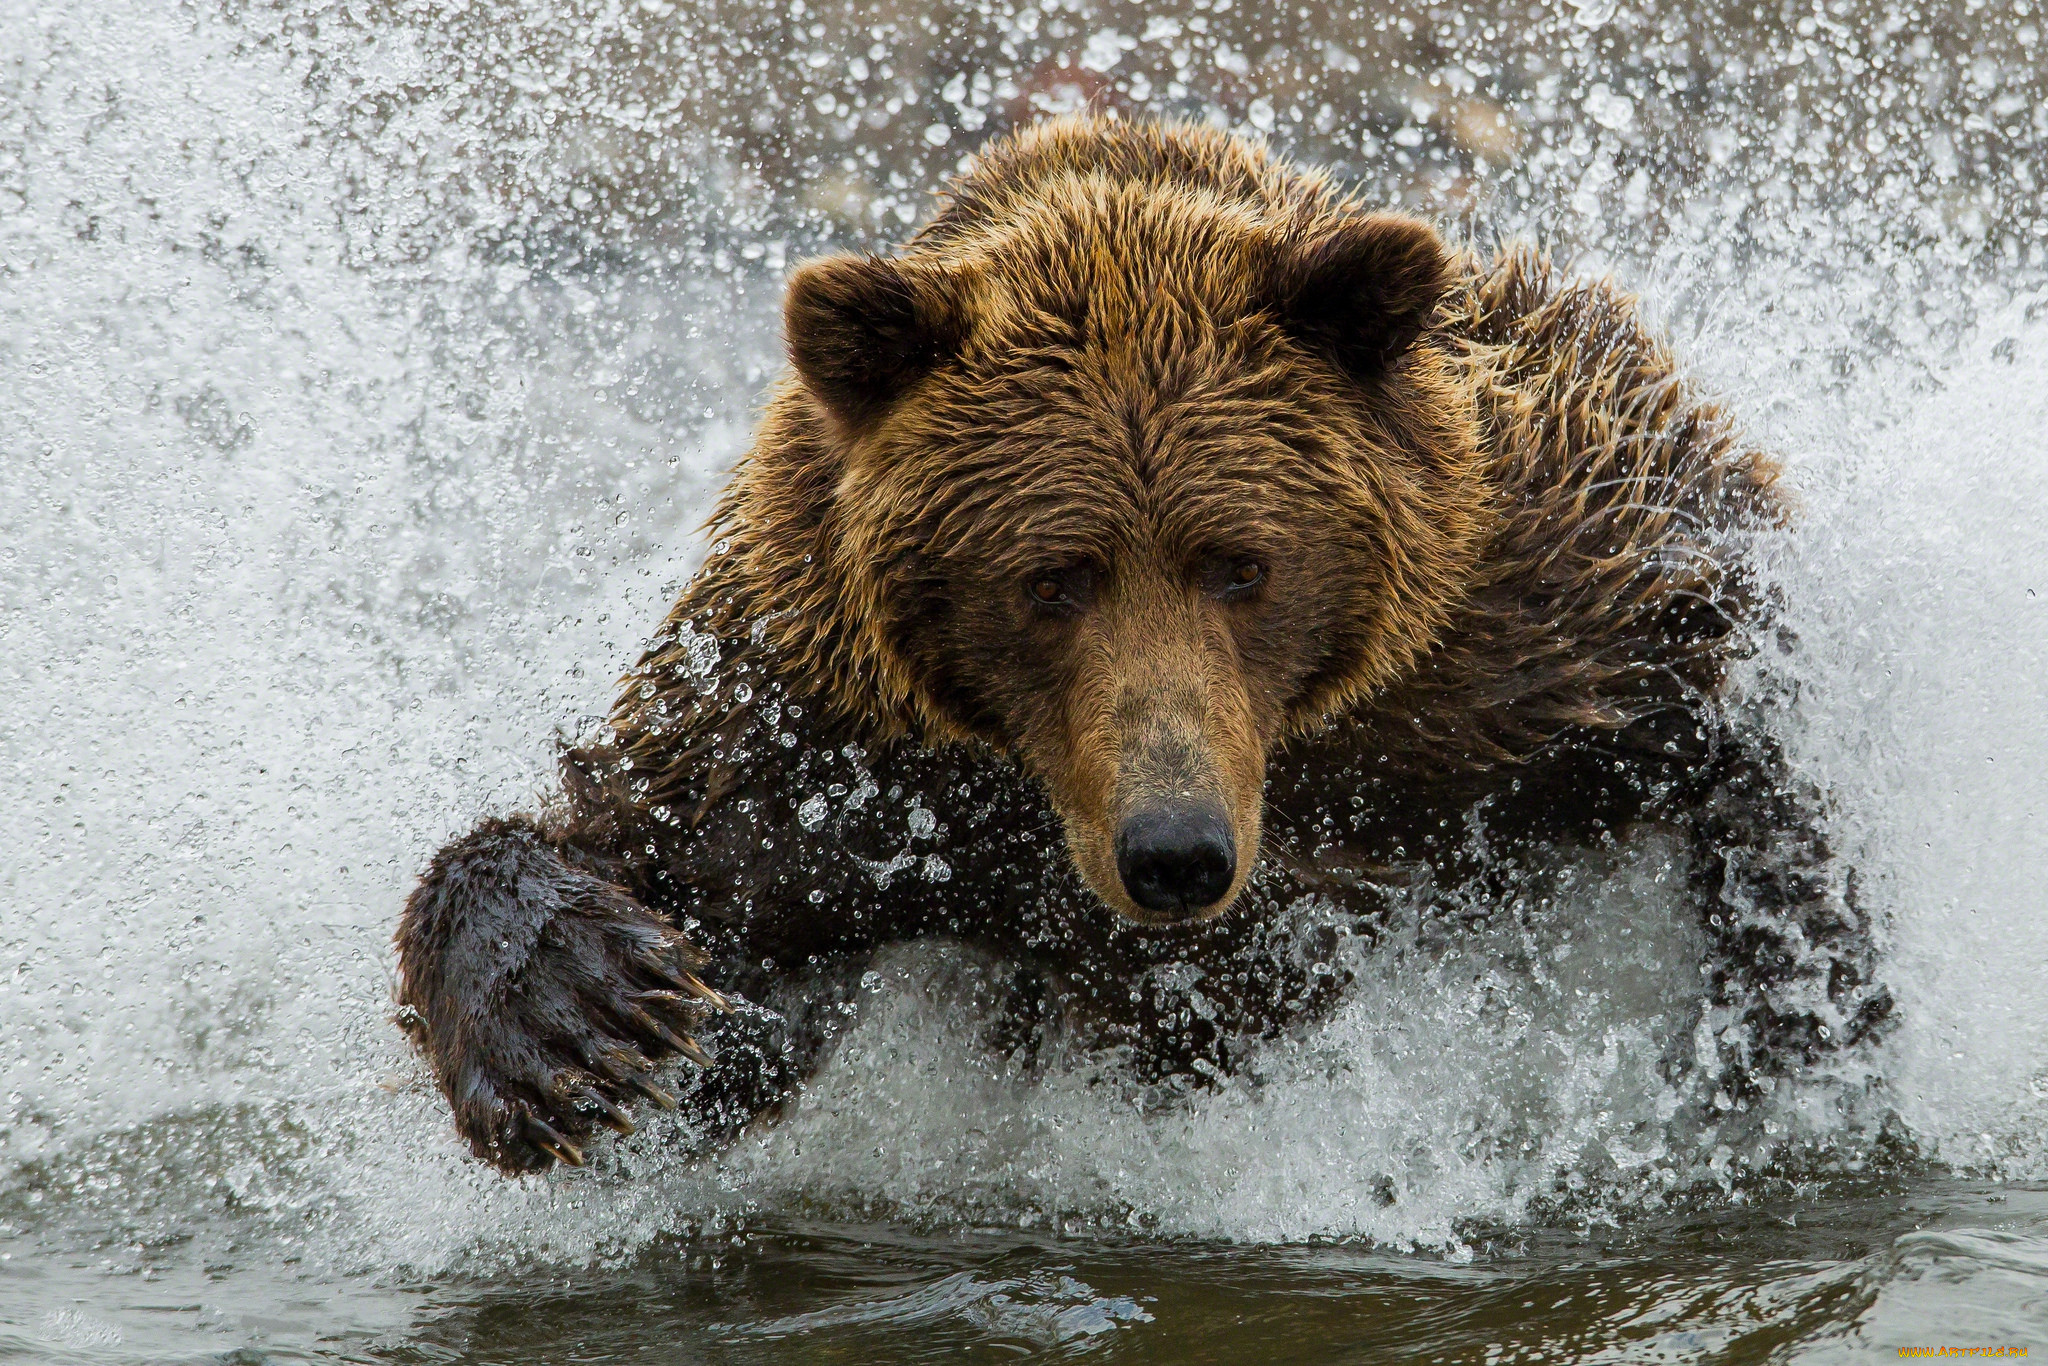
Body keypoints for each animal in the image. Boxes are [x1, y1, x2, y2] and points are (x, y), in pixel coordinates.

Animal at [391, 114, 1892, 1179]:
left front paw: (1795, 1023)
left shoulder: (1528, 609)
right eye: (1051, 577)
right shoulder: (828, 748)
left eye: (1243, 563)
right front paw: (580, 1020)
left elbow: (1729, 694)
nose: (1176, 850)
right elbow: (668, 871)